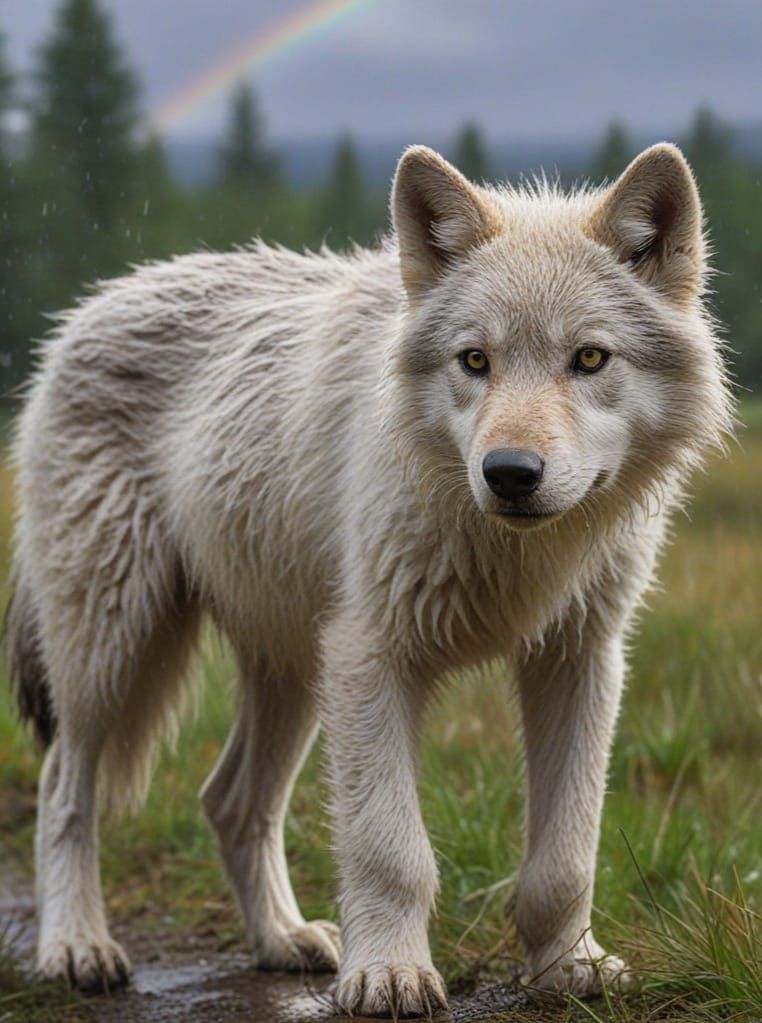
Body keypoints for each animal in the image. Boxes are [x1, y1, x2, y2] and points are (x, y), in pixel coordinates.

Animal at [5, 142, 730, 1016]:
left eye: (589, 358)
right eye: (475, 360)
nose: (509, 473)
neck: (511, 550)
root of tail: (88, 307)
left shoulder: (579, 659)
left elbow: (567, 854)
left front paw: (567, 966)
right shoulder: (372, 657)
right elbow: (391, 848)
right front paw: (388, 975)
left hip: (290, 670)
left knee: (230, 801)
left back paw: (283, 939)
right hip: (113, 648)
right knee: (62, 785)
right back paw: (76, 946)